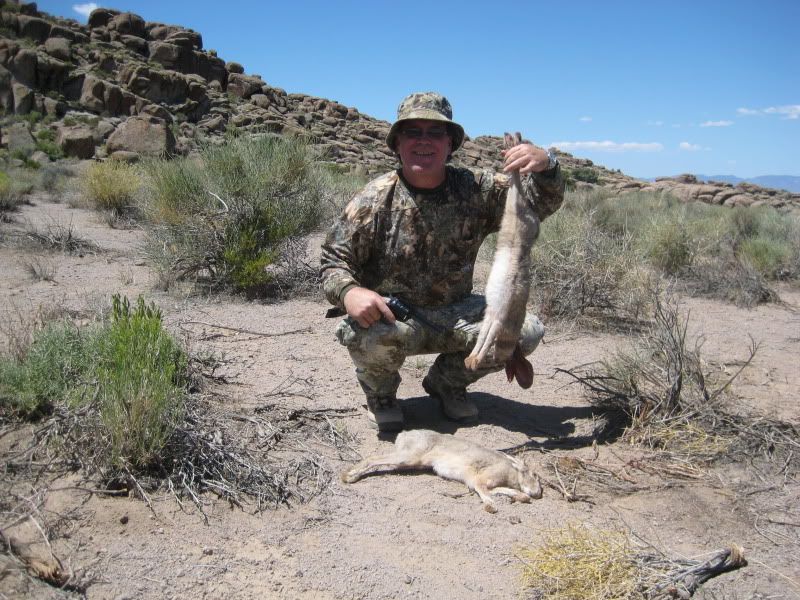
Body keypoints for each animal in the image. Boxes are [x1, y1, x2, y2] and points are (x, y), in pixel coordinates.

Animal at [341, 429, 542, 513]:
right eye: (534, 475)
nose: (538, 494)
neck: (512, 470)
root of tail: (403, 434)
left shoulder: (484, 484)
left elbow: (503, 491)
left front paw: (521, 497)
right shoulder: (479, 481)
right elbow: (486, 493)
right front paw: (491, 507)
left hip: (410, 462)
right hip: (410, 456)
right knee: (373, 459)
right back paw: (348, 476)